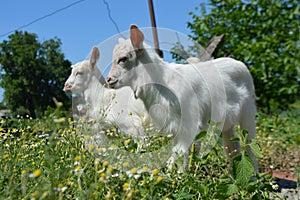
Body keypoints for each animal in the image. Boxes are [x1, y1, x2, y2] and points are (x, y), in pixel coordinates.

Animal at [106, 25, 258, 172]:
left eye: (123, 59)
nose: (109, 80)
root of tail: (240, 64)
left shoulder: (188, 123)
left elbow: (179, 152)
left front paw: (178, 175)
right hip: (228, 124)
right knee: (233, 148)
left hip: (248, 114)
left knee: (249, 146)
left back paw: (255, 175)